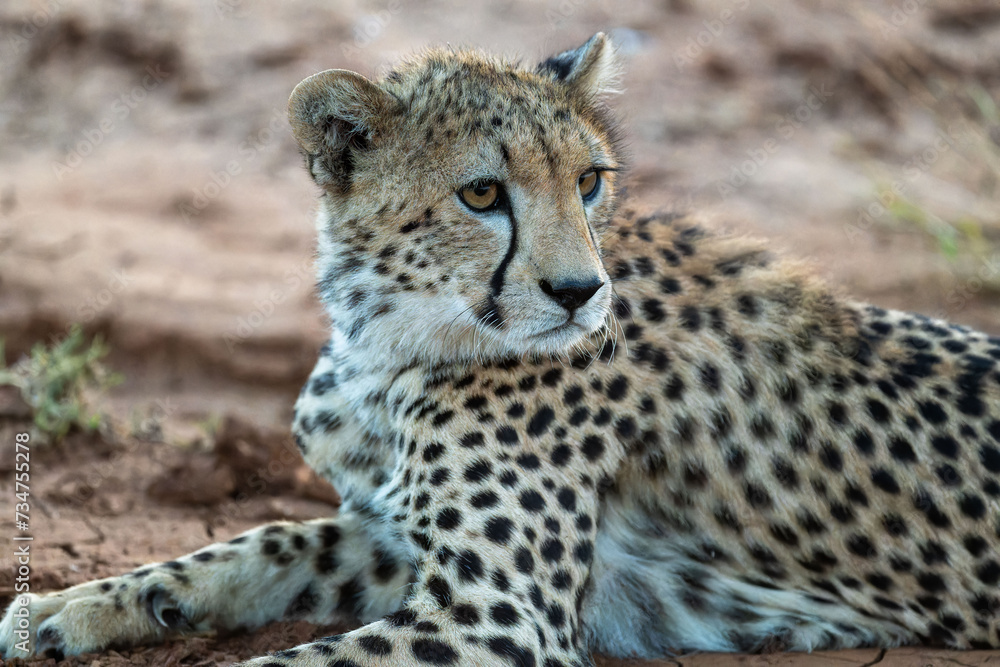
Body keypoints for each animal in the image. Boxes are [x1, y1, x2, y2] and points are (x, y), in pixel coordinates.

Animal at [3, 32, 1000, 667]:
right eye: (482, 193)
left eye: (589, 180)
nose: (580, 291)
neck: (387, 337)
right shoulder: (392, 535)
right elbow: (263, 543)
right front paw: (70, 603)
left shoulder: (494, 620)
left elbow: (275, 662)